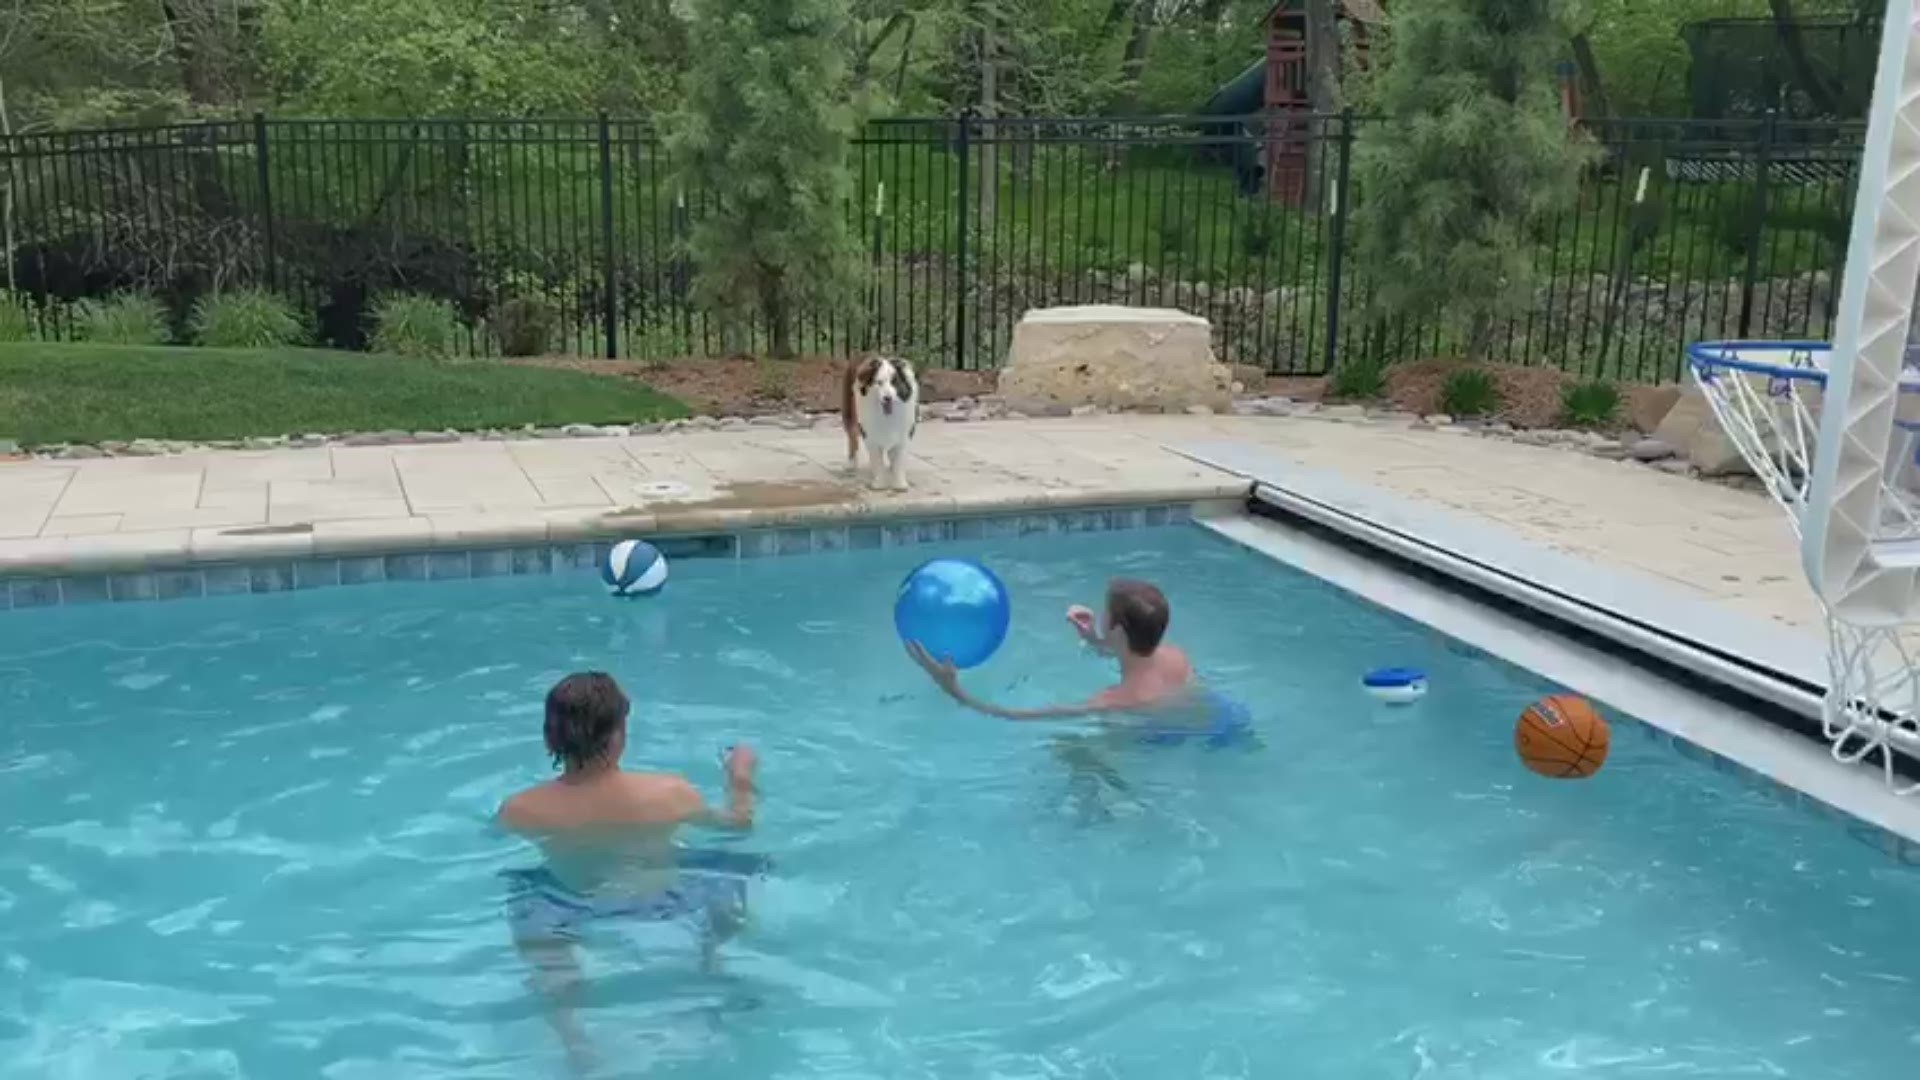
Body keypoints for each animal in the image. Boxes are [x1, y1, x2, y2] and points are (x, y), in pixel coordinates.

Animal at [837, 355, 917, 490]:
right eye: (879, 382)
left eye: (894, 382)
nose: (887, 398)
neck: (886, 415)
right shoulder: (870, 434)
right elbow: (877, 460)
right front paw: (879, 484)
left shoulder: (904, 432)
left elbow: (899, 459)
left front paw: (900, 484)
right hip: (849, 412)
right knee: (852, 437)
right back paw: (851, 463)